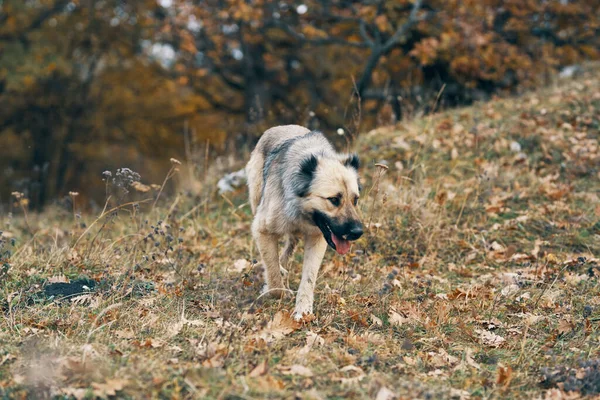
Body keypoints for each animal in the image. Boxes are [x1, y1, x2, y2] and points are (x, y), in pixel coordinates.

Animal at [246, 123, 364, 320]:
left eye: (355, 200)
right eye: (334, 200)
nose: (357, 232)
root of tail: (281, 126)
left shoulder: (317, 238)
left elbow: (309, 277)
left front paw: (303, 309)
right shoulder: (262, 230)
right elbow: (272, 272)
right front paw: (275, 289)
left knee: (290, 244)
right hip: (256, 199)